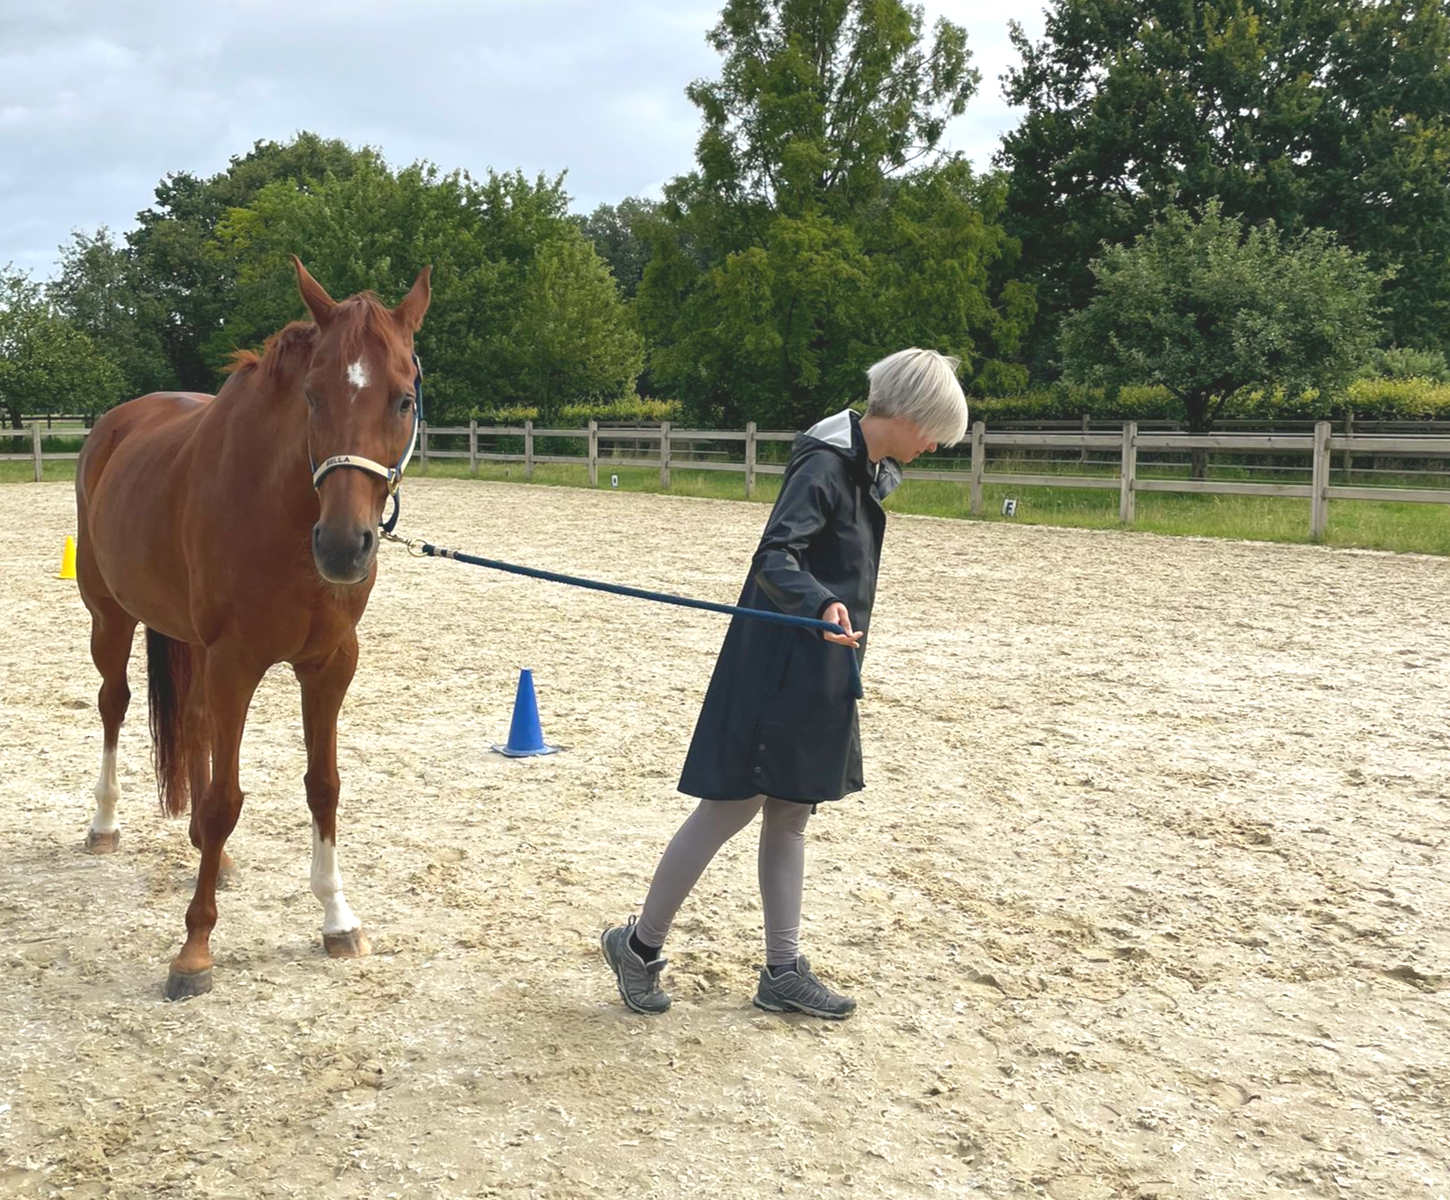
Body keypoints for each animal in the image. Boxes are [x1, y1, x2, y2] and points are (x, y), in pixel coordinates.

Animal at [74, 258, 431, 1000]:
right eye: (313, 397)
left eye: (402, 400)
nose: (343, 547)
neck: (282, 513)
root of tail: (113, 426)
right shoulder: (235, 663)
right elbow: (222, 801)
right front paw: (194, 949)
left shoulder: (329, 664)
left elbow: (323, 785)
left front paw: (336, 917)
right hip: (111, 617)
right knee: (114, 705)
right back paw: (104, 824)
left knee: (195, 726)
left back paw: (213, 857)